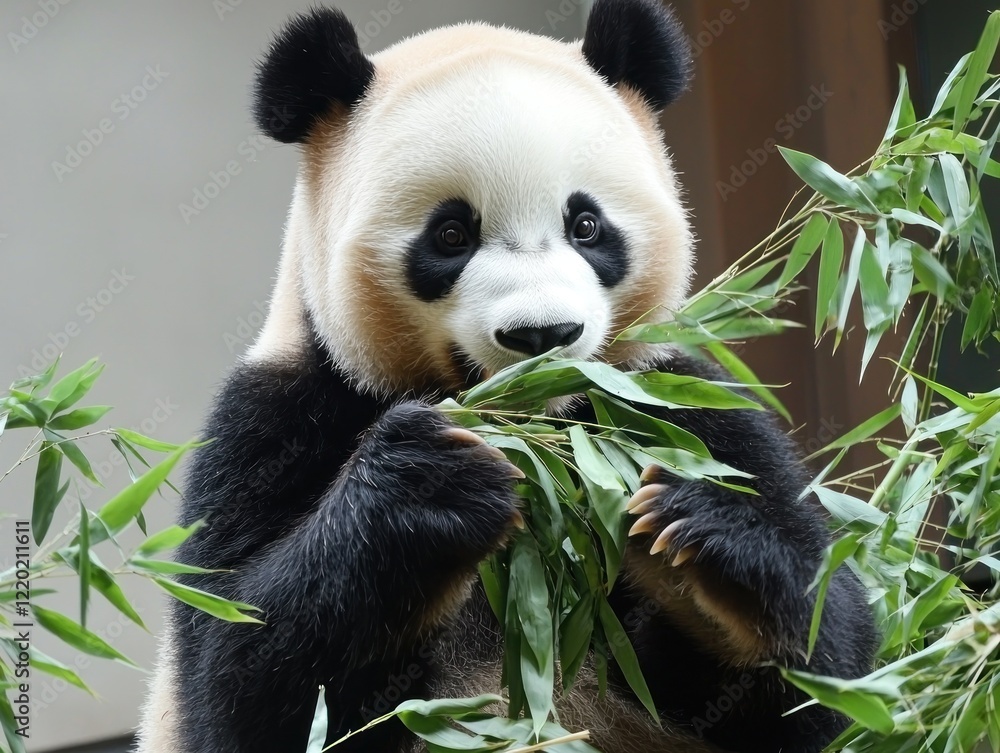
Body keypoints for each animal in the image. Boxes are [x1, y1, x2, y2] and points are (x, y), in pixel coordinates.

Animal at [137, 1, 877, 752]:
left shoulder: (674, 398)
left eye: (586, 225)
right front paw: (429, 481)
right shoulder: (278, 417)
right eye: (451, 234)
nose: (542, 335)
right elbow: (239, 679)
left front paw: (702, 534)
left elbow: (829, 666)